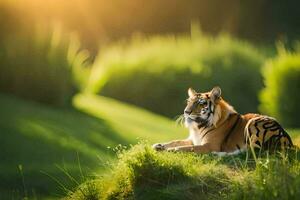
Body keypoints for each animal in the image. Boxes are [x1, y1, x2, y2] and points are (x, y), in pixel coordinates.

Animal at [152, 86, 292, 155]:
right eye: (189, 102)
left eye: (201, 103)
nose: (186, 112)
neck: (198, 127)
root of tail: (288, 142)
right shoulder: (193, 139)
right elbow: (175, 141)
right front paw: (159, 145)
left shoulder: (209, 145)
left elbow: (187, 148)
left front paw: (171, 150)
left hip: (254, 122)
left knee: (250, 152)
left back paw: (217, 154)